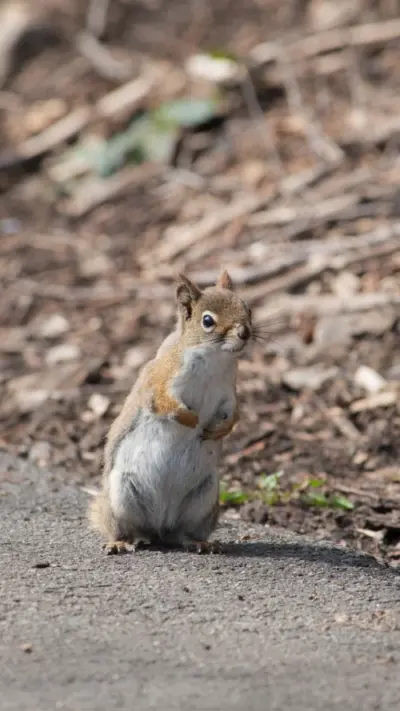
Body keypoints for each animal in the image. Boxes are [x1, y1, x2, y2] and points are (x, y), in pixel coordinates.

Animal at [89, 269, 252, 555]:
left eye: (247, 307)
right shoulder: (161, 381)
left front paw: (218, 430)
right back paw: (120, 541)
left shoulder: (228, 394)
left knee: (181, 534)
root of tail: (159, 527)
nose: (245, 332)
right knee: (126, 529)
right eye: (207, 321)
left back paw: (199, 542)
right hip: (122, 497)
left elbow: (235, 415)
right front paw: (192, 420)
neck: (214, 360)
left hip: (204, 500)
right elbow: (164, 404)